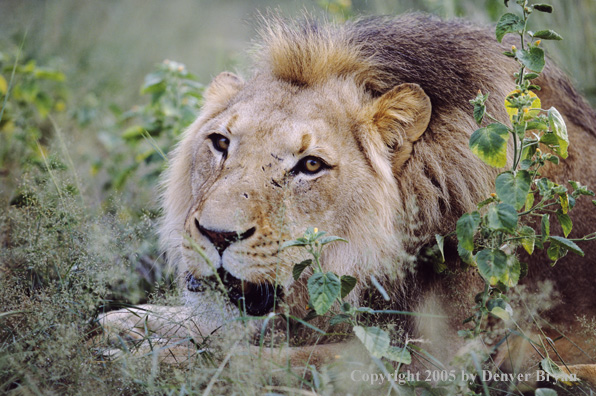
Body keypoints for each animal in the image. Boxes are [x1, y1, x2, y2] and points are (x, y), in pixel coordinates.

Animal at [100, 13, 596, 390]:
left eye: (310, 165)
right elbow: (218, 328)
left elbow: (257, 358)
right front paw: (127, 321)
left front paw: (141, 360)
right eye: (220, 143)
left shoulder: (441, 360)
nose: (216, 235)